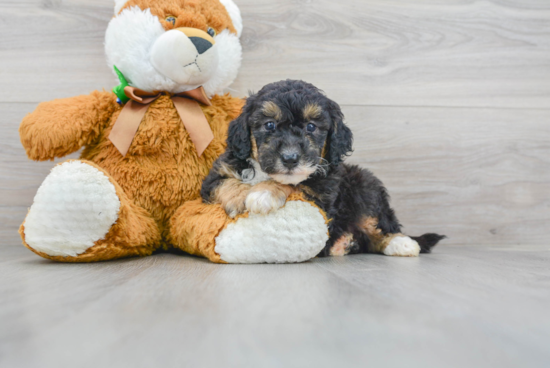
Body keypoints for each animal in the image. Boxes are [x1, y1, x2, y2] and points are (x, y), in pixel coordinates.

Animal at [201, 78, 446, 256]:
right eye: (269, 125)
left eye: (311, 127)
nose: (290, 158)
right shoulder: (214, 177)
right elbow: (226, 183)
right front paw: (240, 198)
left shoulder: (322, 196)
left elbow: (294, 185)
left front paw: (264, 194)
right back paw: (346, 243)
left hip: (365, 187)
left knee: (377, 228)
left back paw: (401, 244)